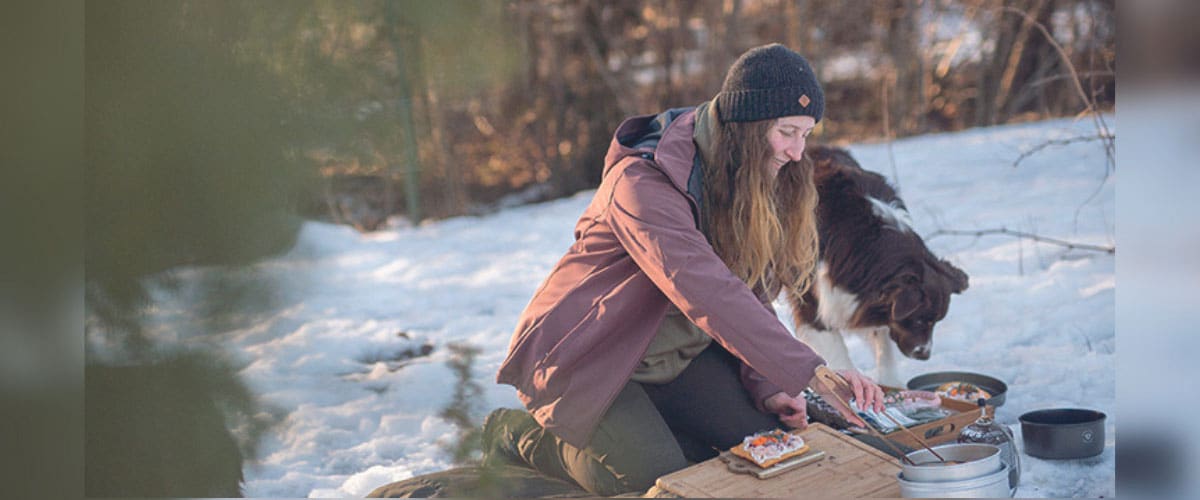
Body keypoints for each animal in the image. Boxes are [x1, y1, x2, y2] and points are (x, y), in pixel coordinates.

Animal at [787, 146, 974, 383]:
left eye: (936, 321)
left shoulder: (864, 299)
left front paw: (891, 383)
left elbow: (882, 336)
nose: (925, 355)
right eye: (920, 320)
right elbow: (836, 350)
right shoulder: (810, 298)